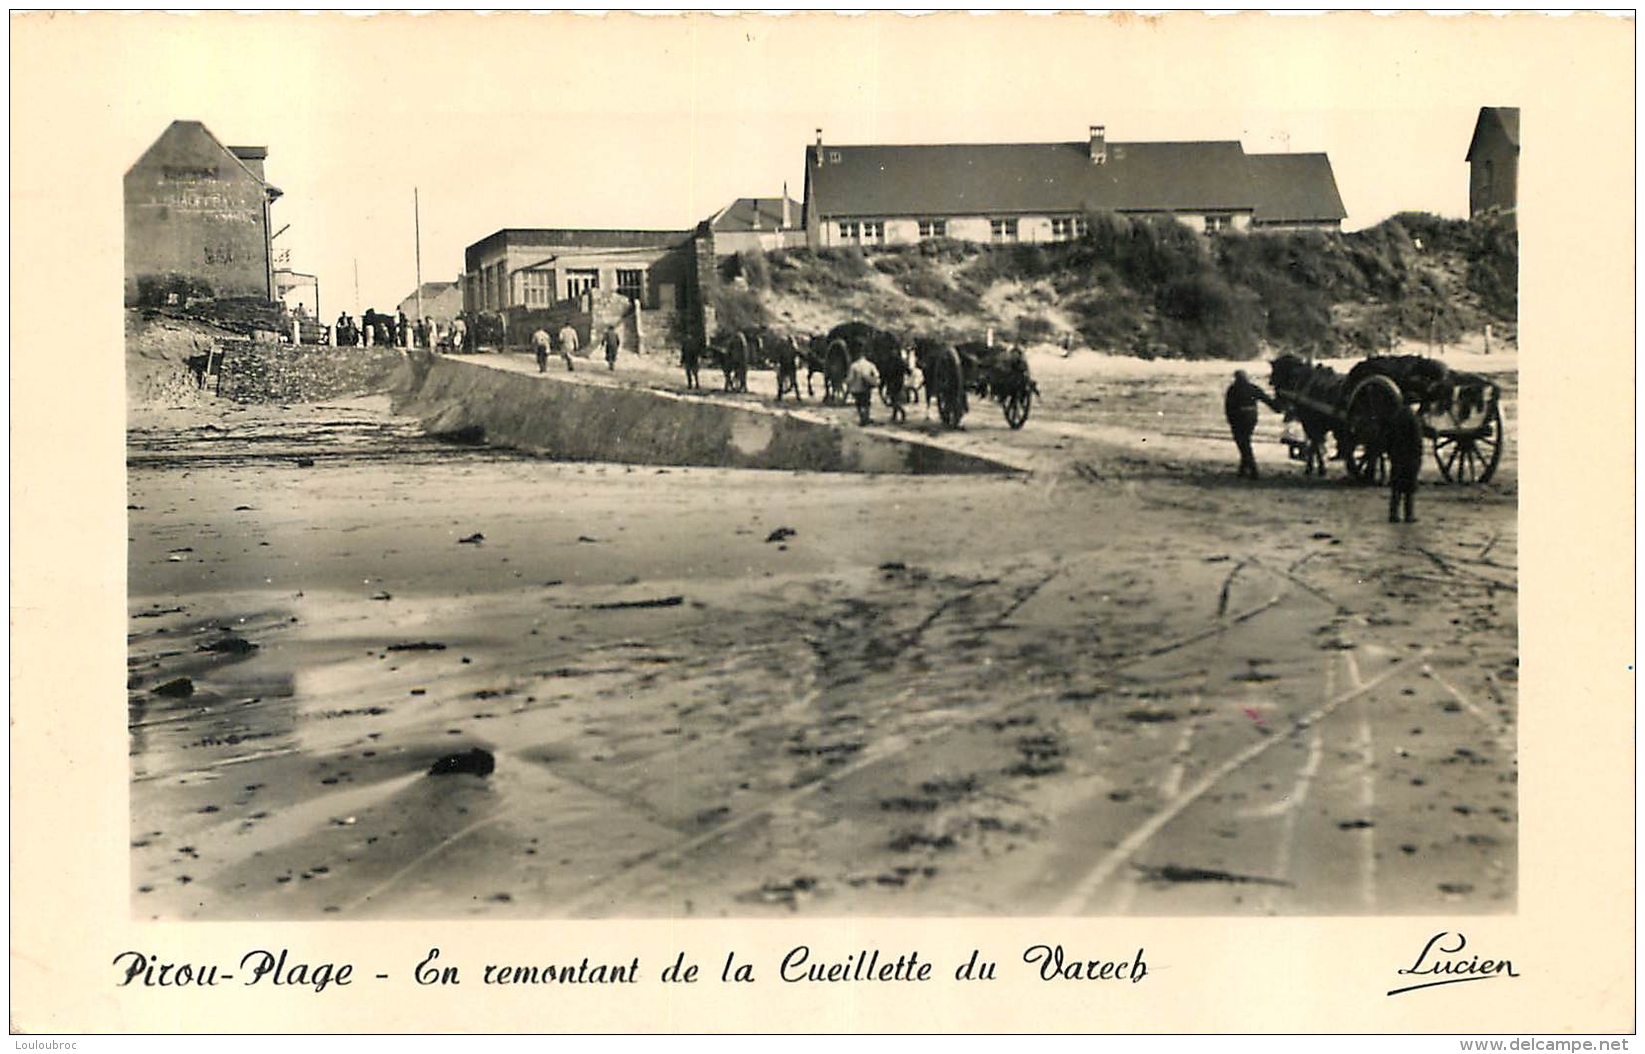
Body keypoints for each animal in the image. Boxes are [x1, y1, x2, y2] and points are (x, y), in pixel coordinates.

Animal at [1269, 353, 1506, 486]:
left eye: (1276, 371)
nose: (1276, 397)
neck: (1304, 380)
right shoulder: (1320, 425)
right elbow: (1318, 445)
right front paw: (1319, 466)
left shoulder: (1312, 422)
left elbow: (1315, 445)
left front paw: (1316, 469)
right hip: (1466, 435)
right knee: (1466, 441)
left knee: (1373, 445)